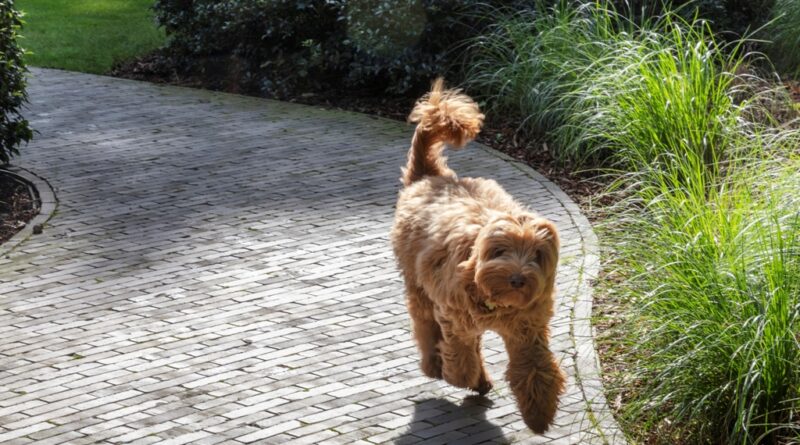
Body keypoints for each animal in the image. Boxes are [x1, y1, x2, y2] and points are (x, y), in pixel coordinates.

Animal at [390, 78, 564, 432]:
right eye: (500, 251)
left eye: (537, 255)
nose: (517, 279)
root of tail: (430, 176)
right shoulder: (455, 319)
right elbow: (461, 358)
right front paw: (465, 377)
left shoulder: (527, 330)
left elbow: (535, 369)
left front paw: (539, 413)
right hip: (418, 285)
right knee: (425, 325)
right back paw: (436, 365)